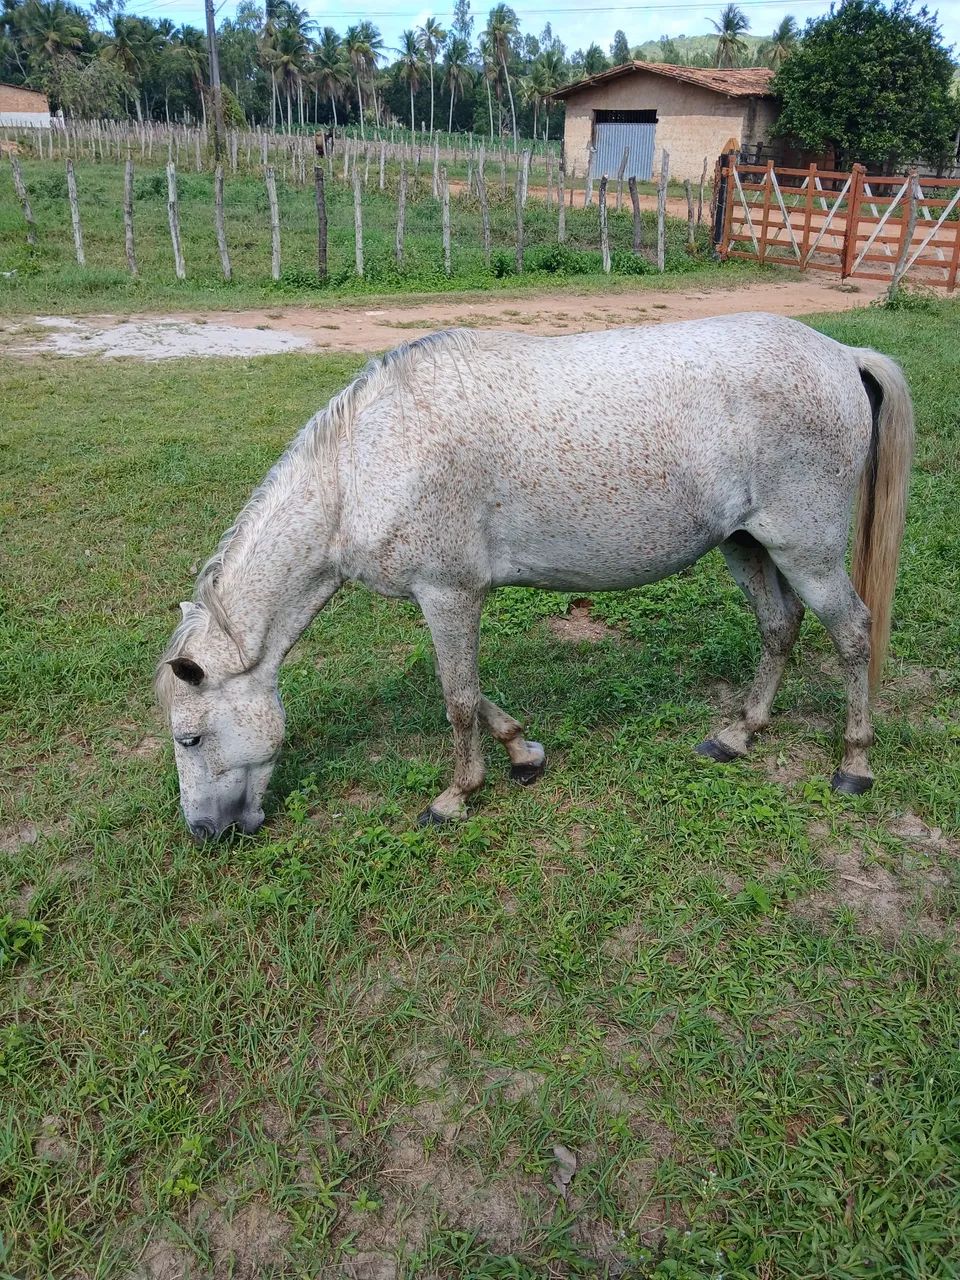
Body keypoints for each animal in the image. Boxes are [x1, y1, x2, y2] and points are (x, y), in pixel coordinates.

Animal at [157, 315, 913, 840]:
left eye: (189, 738)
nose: (205, 832)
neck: (362, 465)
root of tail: (842, 355)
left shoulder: (448, 593)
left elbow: (458, 698)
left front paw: (455, 797)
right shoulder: (450, 599)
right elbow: (475, 692)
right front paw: (523, 753)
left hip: (804, 548)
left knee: (852, 633)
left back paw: (854, 764)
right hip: (745, 544)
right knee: (779, 626)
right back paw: (738, 734)